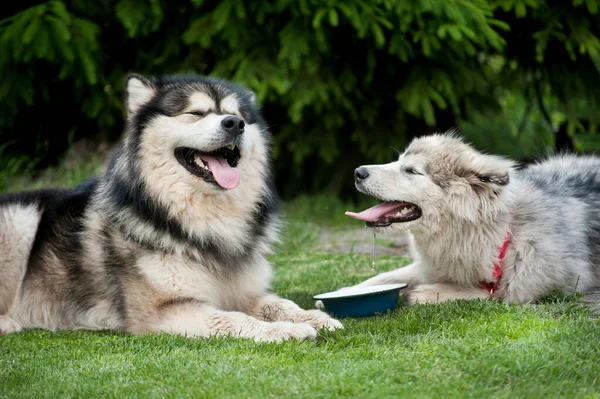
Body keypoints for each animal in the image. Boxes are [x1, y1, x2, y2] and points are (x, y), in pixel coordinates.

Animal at [0, 72, 342, 340]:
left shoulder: (245, 292)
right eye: (196, 113)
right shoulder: (162, 311)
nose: (235, 124)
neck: (211, 218)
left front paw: (316, 318)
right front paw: (284, 330)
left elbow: (280, 303)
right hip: (20, 218)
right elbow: (232, 319)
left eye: (239, 115)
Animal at [342, 133, 600, 304]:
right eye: (397, 161)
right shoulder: (430, 267)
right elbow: (382, 278)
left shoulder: (515, 289)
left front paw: (422, 293)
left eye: (412, 171)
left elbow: (475, 291)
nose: (357, 172)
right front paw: (343, 294)